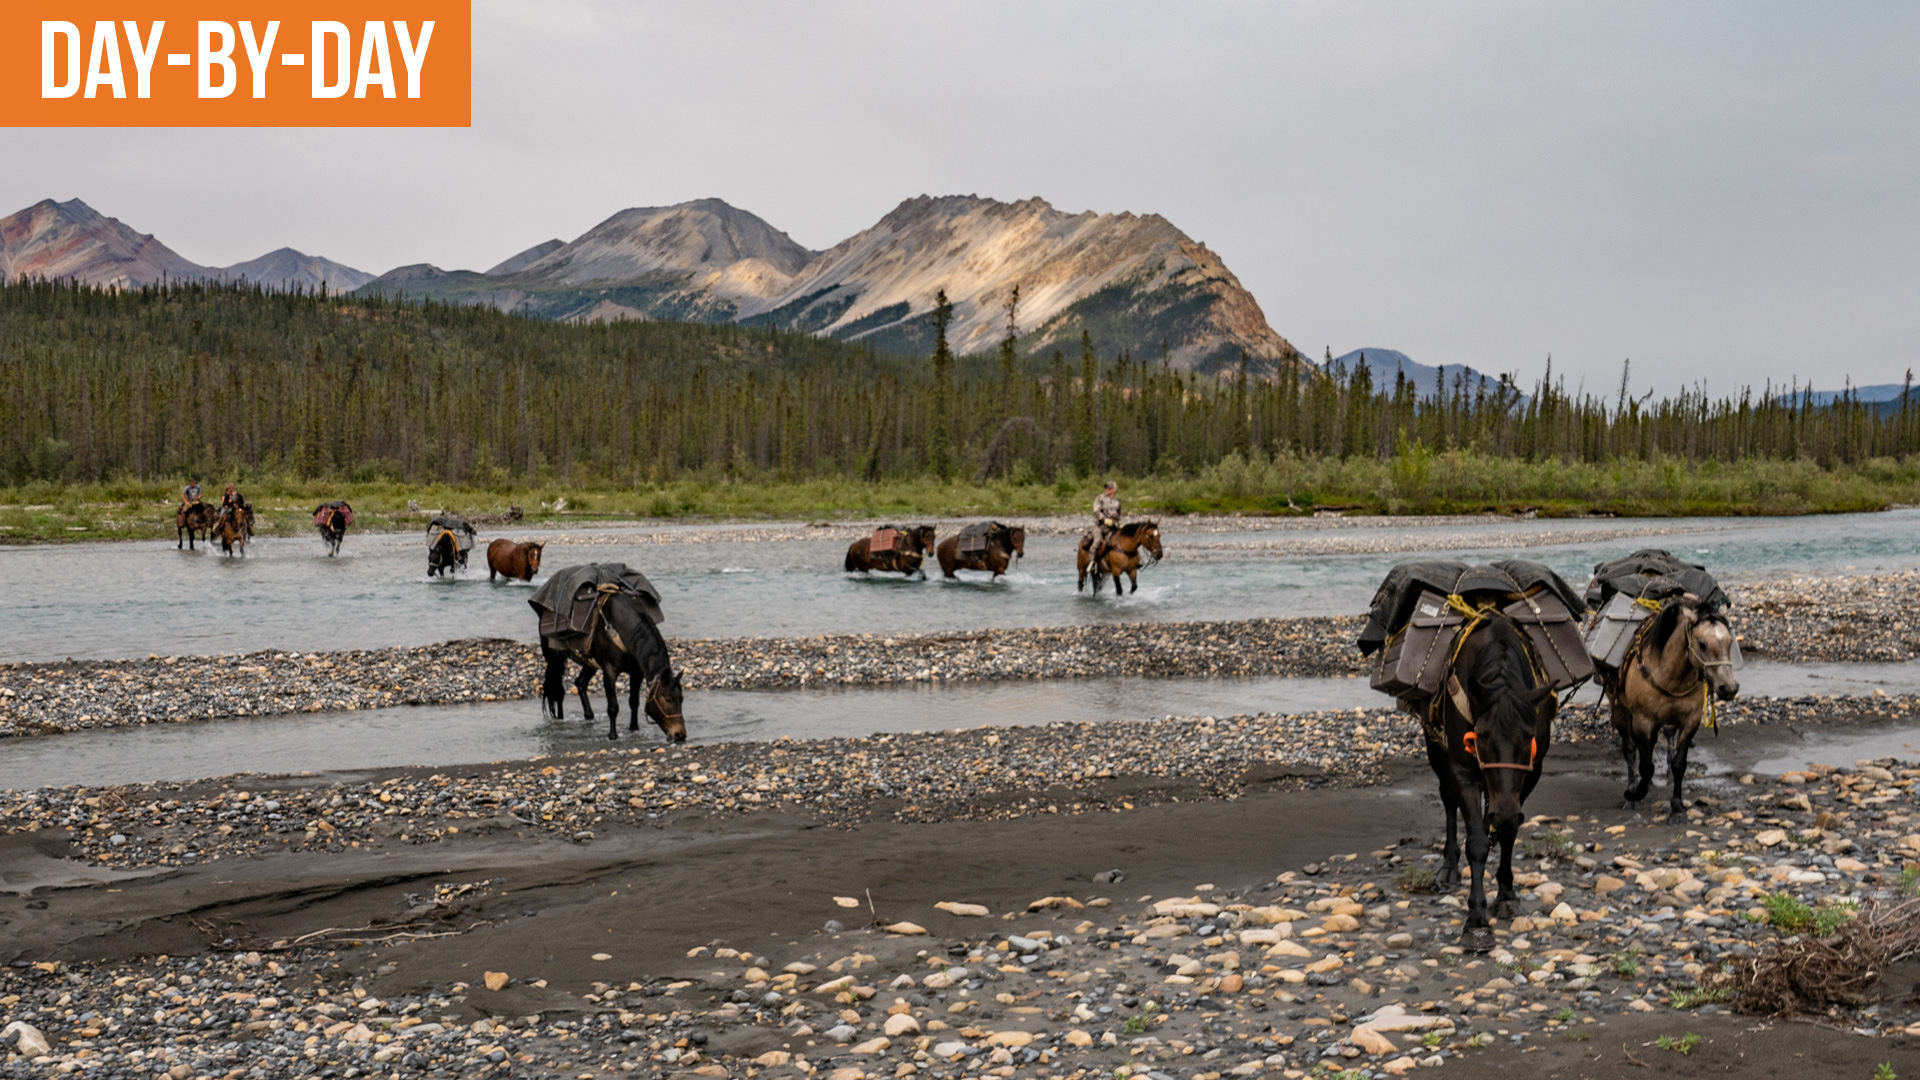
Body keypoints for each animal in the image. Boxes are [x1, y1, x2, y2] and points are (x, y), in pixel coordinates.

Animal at [540, 587, 686, 742]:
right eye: (668, 699)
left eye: (681, 699)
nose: (680, 735)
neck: (621, 628)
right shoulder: (609, 671)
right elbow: (613, 707)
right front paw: (613, 736)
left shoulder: (636, 672)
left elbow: (634, 702)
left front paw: (634, 729)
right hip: (555, 658)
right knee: (557, 690)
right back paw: (560, 720)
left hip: (590, 662)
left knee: (580, 683)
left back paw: (589, 716)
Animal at [1425, 615, 1556, 952]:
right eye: (1481, 737)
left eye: (1528, 736)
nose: (1504, 811)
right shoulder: (1462, 769)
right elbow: (1476, 842)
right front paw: (1476, 921)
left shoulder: (1532, 772)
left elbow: (1507, 833)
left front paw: (1507, 895)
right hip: (1435, 748)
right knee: (1448, 799)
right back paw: (1448, 868)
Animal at [1608, 597, 1740, 817]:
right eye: (1702, 644)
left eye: (1730, 642)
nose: (1729, 688)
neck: (1671, 677)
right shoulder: (1642, 720)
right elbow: (1646, 765)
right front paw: (1634, 795)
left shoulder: (1690, 721)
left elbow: (1678, 764)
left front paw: (1677, 807)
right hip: (1620, 710)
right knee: (1630, 749)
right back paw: (1633, 792)